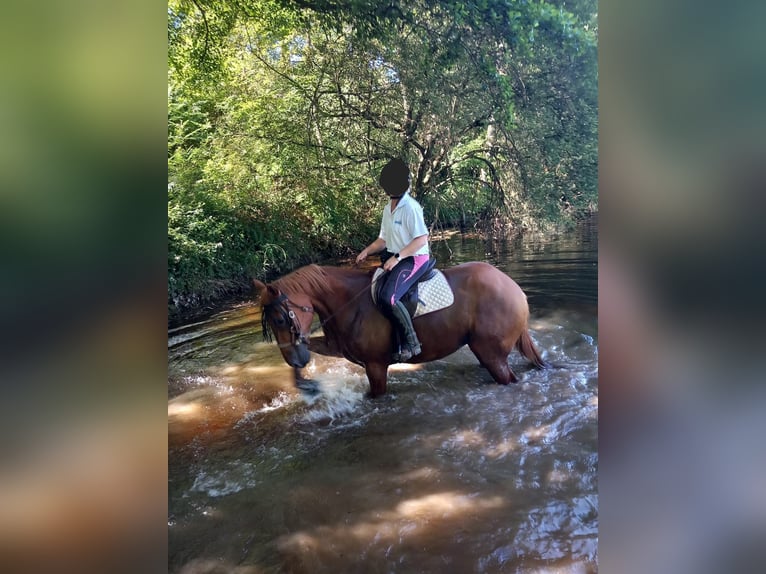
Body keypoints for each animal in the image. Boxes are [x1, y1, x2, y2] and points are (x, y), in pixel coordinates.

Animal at [253, 262, 546, 397]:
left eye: (280, 320)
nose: (295, 359)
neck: (349, 302)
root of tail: (515, 289)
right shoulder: (336, 346)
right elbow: (312, 347)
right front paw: (303, 383)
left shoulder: (375, 365)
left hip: (492, 355)